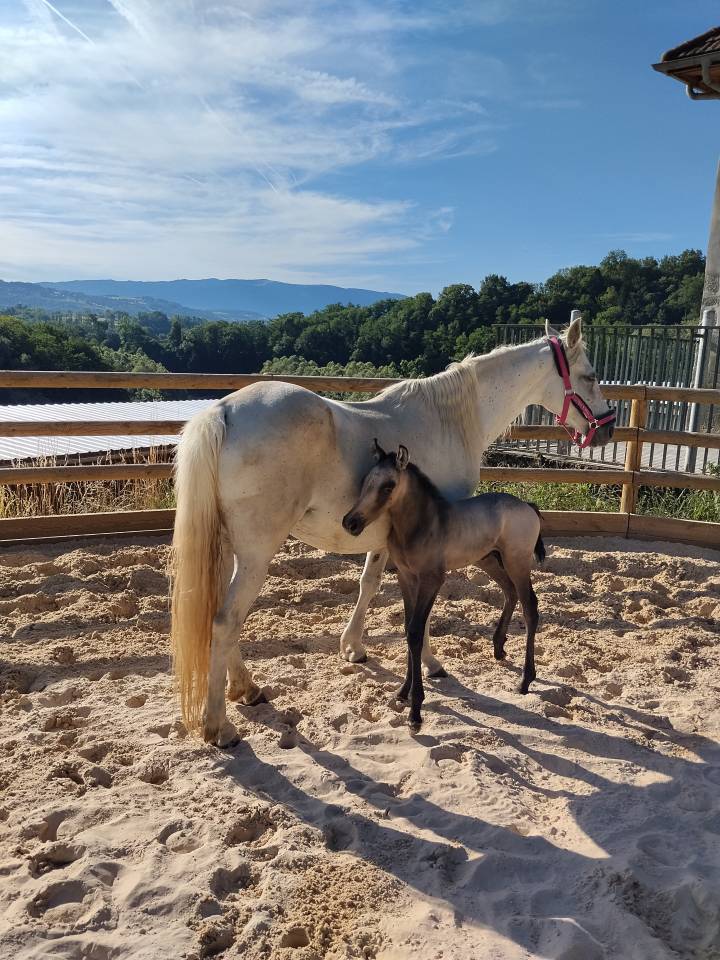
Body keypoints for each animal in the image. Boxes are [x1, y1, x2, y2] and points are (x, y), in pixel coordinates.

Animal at [342, 440, 545, 730]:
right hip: (489, 560)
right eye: (364, 482)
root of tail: (528, 505)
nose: (351, 522)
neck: (421, 525)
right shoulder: (407, 578)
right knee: (509, 592)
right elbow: (408, 629)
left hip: (517, 561)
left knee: (530, 608)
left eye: (388, 486)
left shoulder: (432, 579)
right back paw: (498, 648)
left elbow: (416, 632)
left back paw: (525, 680)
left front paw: (415, 711)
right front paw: (403, 692)